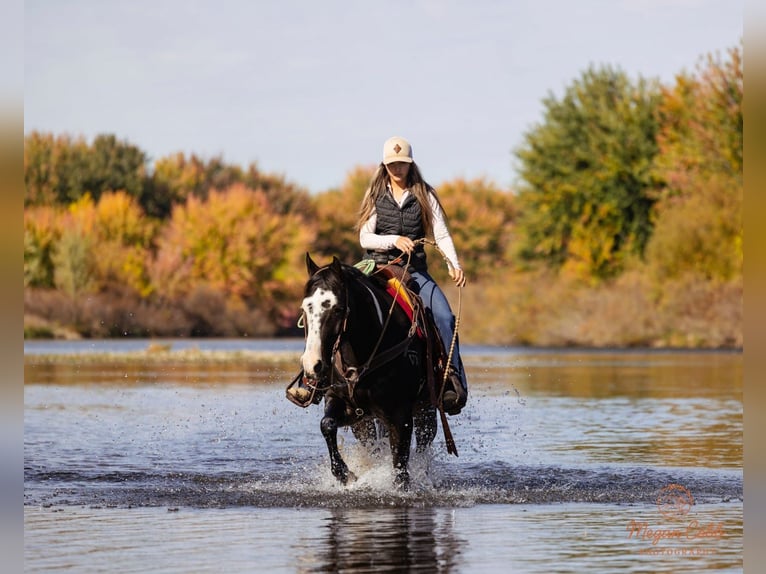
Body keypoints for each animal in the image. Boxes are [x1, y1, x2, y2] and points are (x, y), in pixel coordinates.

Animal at [296, 253, 454, 488]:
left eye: (337, 309)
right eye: (306, 308)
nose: (312, 364)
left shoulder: (401, 415)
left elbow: (401, 467)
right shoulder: (346, 405)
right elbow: (327, 425)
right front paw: (345, 474)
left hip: (425, 408)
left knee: (424, 443)